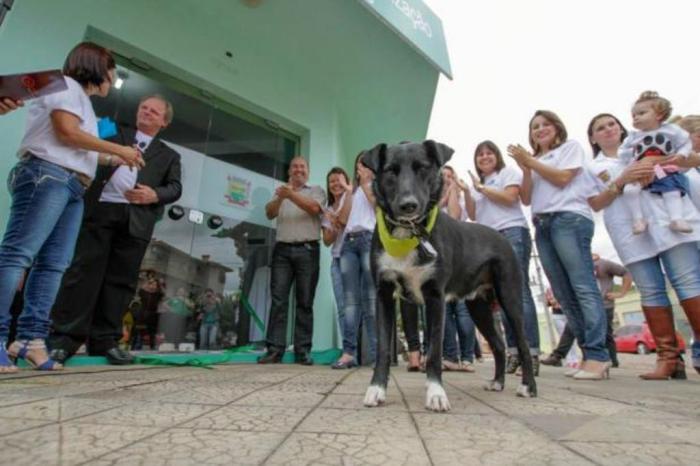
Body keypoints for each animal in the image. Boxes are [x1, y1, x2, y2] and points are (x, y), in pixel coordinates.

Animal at [360, 139, 536, 412]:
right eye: (390, 171)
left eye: (423, 168)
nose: (408, 205)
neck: (409, 234)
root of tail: (500, 236)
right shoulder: (384, 294)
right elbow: (383, 349)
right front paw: (376, 389)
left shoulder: (435, 297)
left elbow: (434, 352)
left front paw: (436, 394)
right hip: (478, 307)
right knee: (498, 345)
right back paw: (497, 382)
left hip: (511, 298)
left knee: (523, 343)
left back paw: (528, 386)